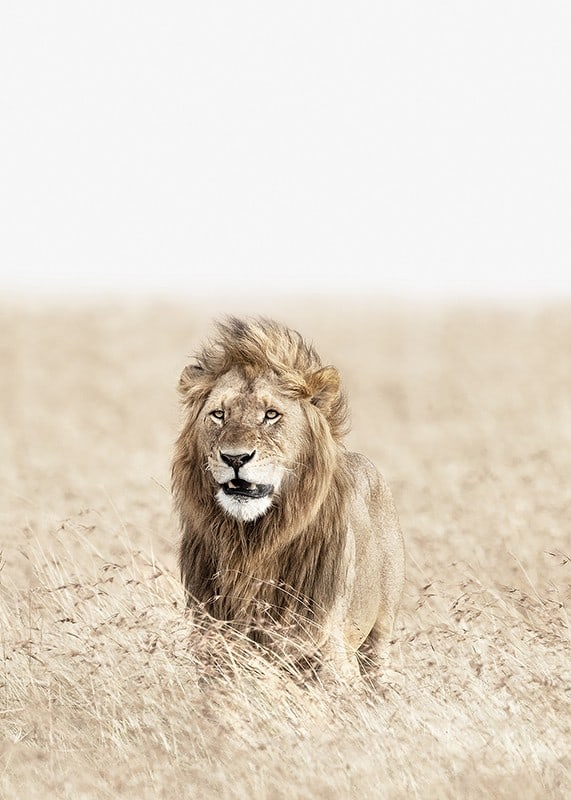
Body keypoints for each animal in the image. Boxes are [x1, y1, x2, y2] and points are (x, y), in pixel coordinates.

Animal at [171, 316, 405, 678]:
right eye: (219, 414)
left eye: (271, 414)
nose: (235, 458)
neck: (251, 543)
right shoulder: (211, 641)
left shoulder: (328, 650)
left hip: (381, 634)